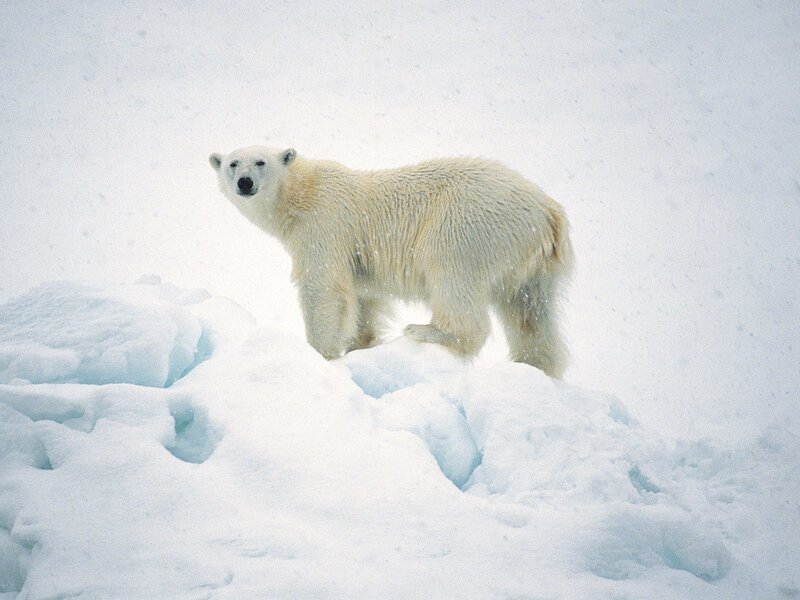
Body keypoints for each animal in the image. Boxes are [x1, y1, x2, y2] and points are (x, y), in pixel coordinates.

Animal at [209, 146, 573, 378]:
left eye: (260, 162)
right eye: (232, 164)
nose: (244, 183)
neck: (301, 192)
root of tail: (549, 210)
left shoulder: (323, 224)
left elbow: (322, 288)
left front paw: (320, 354)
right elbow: (364, 299)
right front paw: (360, 345)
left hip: (468, 223)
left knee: (451, 273)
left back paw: (427, 330)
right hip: (532, 262)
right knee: (530, 312)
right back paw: (534, 365)